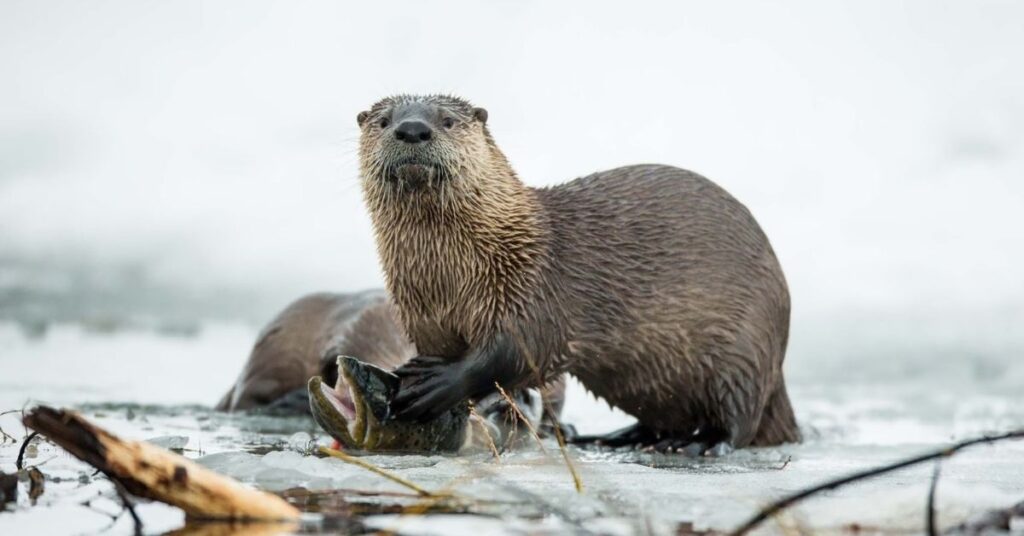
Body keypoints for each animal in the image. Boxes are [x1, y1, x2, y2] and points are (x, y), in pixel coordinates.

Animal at [358, 93, 798, 452]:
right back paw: (619, 437)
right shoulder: (423, 316)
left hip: (744, 348)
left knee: (740, 418)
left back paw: (701, 443)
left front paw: (439, 384)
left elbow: (518, 352)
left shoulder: (533, 288)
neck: (451, 276)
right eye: (383, 121)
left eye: (447, 120)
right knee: (666, 416)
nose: (412, 128)